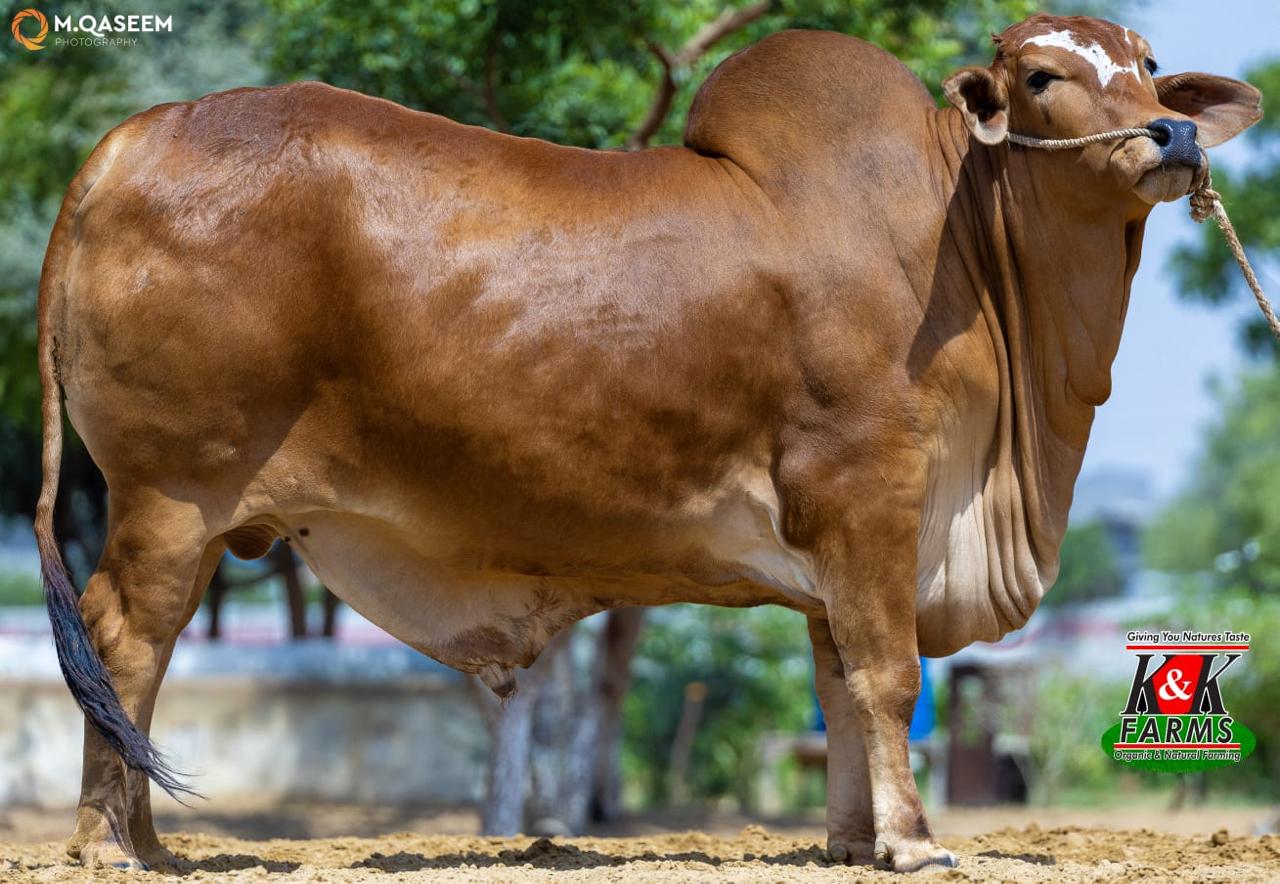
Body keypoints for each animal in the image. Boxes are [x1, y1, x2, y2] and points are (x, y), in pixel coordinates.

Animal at [34, 12, 1259, 873]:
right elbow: (883, 671)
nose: (1168, 132)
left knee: (134, 657)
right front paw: (914, 841)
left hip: (188, 512)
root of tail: (129, 139)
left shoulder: (836, 546)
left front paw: (852, 839)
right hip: (171, 495)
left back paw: (148, 843)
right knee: (123, 642)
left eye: (1149, 64)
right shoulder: (868, 494)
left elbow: (836, 682)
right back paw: (112, 846)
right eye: (1042, 77)